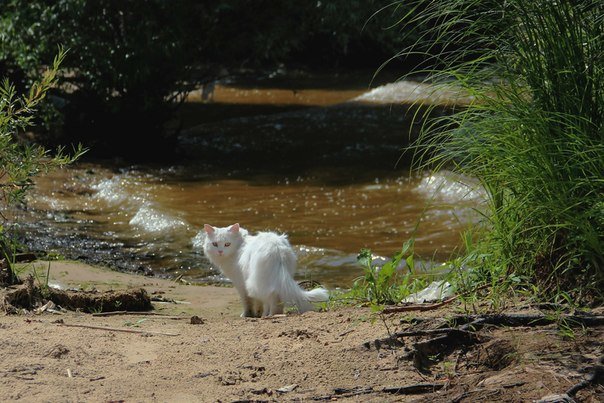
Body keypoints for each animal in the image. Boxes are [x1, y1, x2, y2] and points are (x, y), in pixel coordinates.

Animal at [202, 223, 330, 318]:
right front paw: (257, 314)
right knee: (274, 299)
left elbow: (247, 302)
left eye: (227, 244)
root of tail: (277, 249)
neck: (240, 246)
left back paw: (269, 315)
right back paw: (269, 315)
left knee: (271, 299)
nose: (220, 251)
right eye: (215, 244)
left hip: (256, 282)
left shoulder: (241, 284)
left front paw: (247, 315)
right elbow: (258, 303)